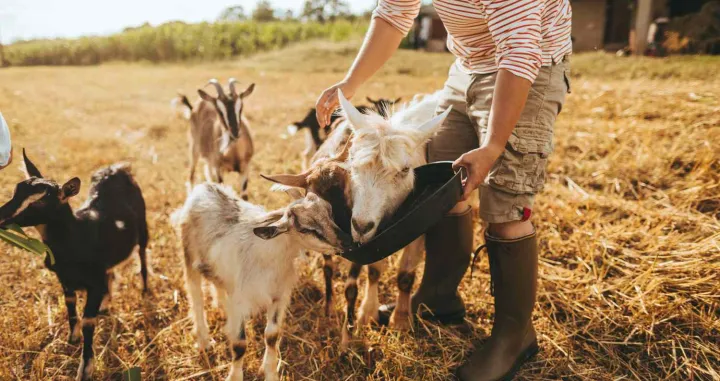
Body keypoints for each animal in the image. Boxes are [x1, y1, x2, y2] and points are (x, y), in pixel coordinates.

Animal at [0, 149, 149, 380]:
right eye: (16, 190)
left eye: (40, 202)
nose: (0, 217)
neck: (76, 237)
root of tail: (117, 168)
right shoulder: (65, 280)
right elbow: (70, 308)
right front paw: (72, 339)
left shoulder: (93, 283)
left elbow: (88, 322)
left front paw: (85, 368)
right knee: (111, 274)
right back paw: (105, 305)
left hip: (142, 225)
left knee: (142, 255)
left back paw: (145, 290)